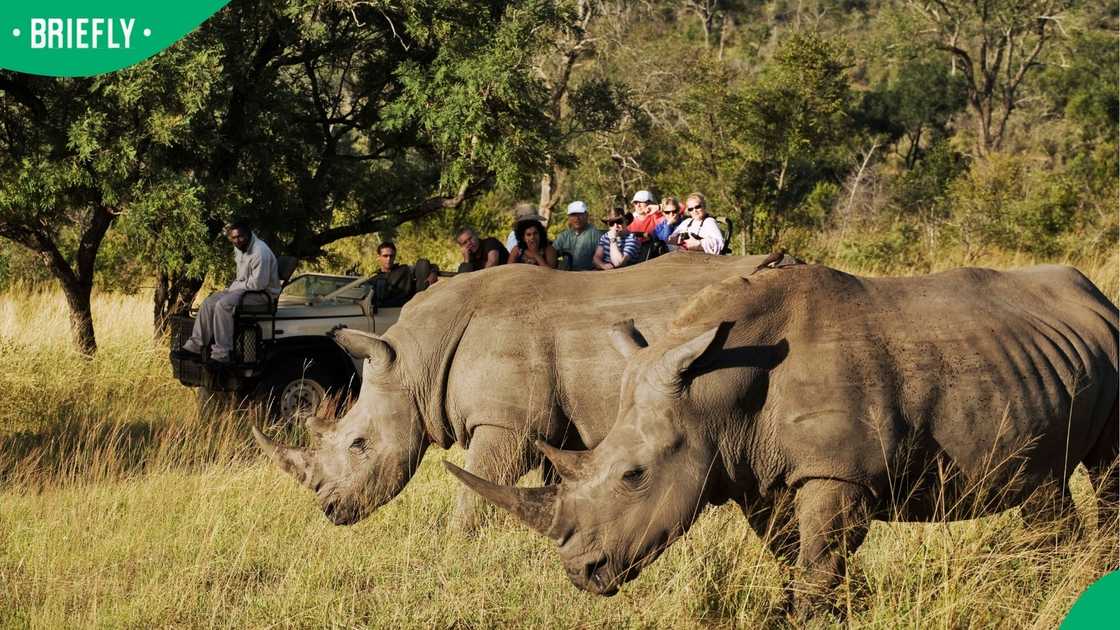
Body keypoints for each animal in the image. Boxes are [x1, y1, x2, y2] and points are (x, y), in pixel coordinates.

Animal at [252, 252, 799, 529]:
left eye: (359, 444)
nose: (331, 513)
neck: (415, 361)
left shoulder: (507, 422)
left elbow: (476, 489)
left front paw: (459, 546)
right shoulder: (551, 422)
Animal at [448, 263, 1119, 610]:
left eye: (633, 476)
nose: (581, 574)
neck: (713, 396)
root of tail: (1096, 295)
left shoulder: (836, 472)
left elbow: (819, 561)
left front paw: (817, 613)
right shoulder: (753, 468)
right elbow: (796, 555)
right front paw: (845, 609)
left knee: (1106, 469)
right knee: (1042, 486)